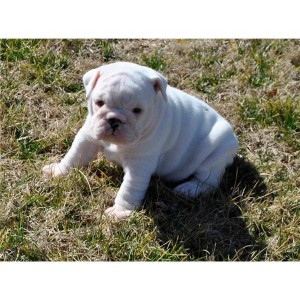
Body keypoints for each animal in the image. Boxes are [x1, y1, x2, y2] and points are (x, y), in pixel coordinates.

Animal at [42, 61, 239, 218]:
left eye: (137, 110)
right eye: (99, 103)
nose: (115, 120)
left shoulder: (140, 164)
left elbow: (129, 188)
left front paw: (119, 212)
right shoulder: (87, 138)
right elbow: (73, 157)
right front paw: (57, 171)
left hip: (215, 157)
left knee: (209, 181)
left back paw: (189, 189)